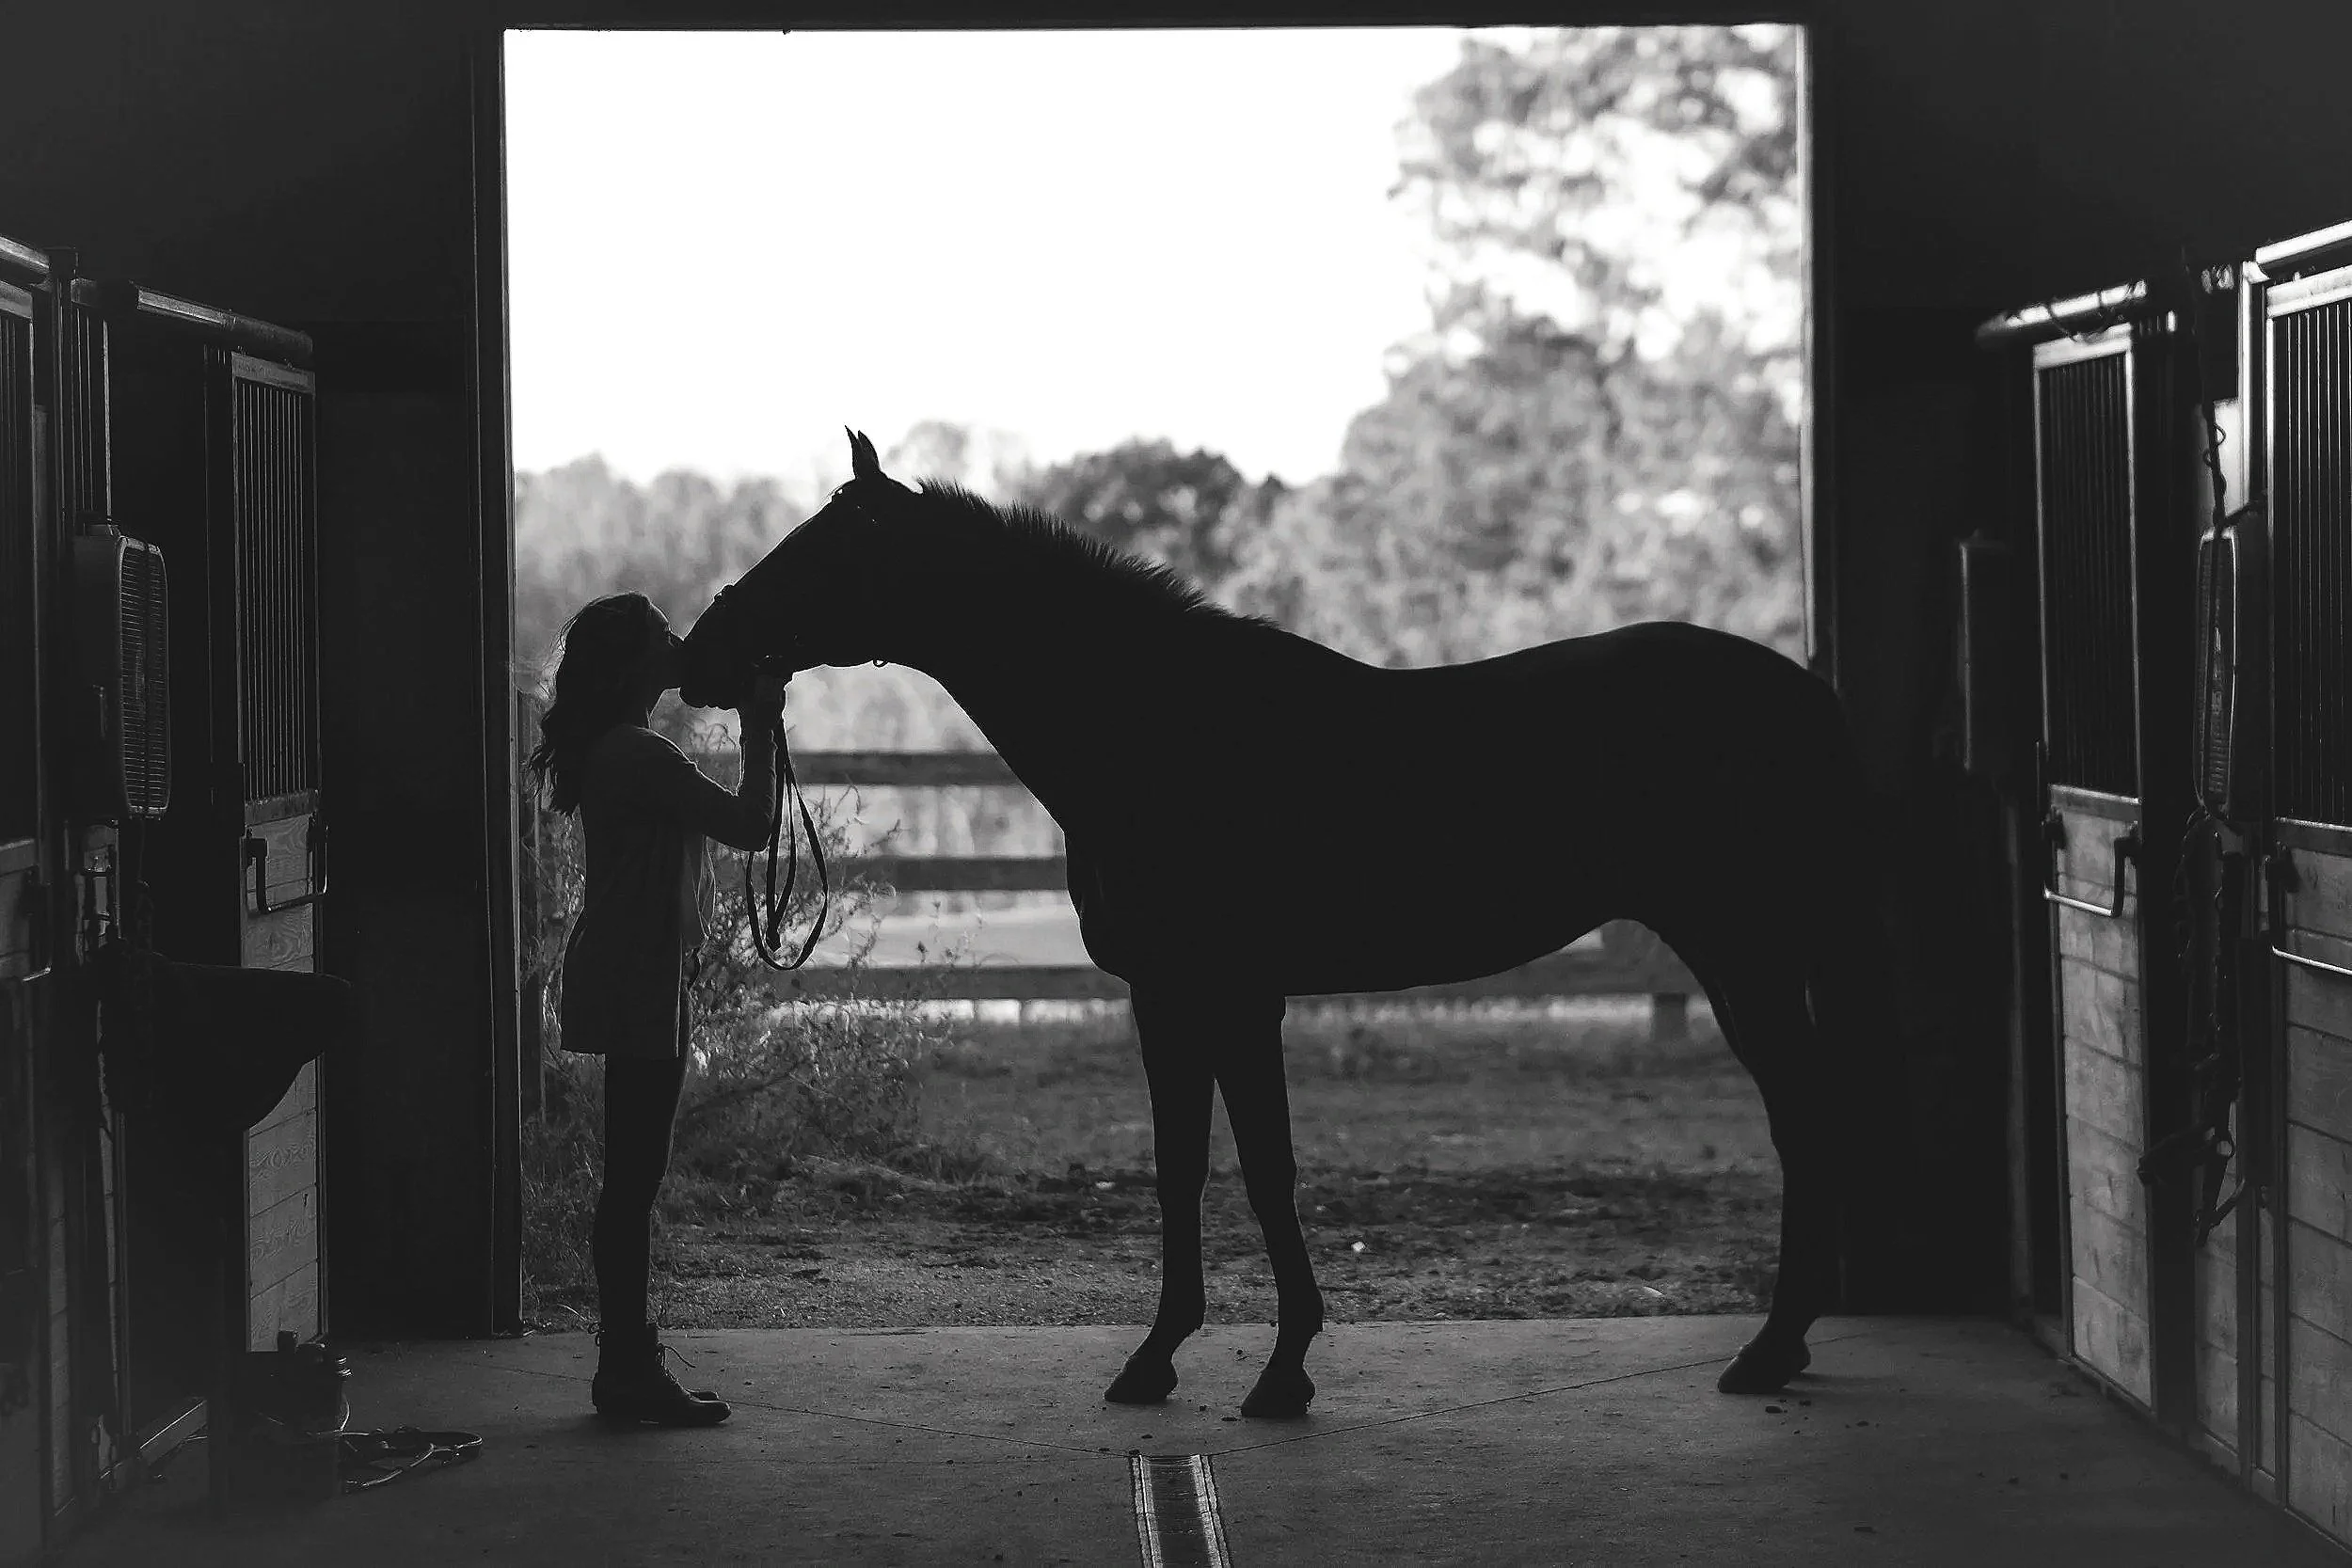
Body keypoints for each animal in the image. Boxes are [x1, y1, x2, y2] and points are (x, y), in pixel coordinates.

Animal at [682, 428, 1878, 1419]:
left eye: (822, 549)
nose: (700, 653)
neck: (1160, 728)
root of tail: (1805, 694)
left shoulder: (1232, 995)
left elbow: (1263, 1168)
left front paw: (1280, 1366)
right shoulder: (1167, 997)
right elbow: (1182, 1166)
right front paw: (1163, 1356)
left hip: (1745, 955)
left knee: (1806, 1119)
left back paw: (1769, 1349)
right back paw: (1784, 1344)